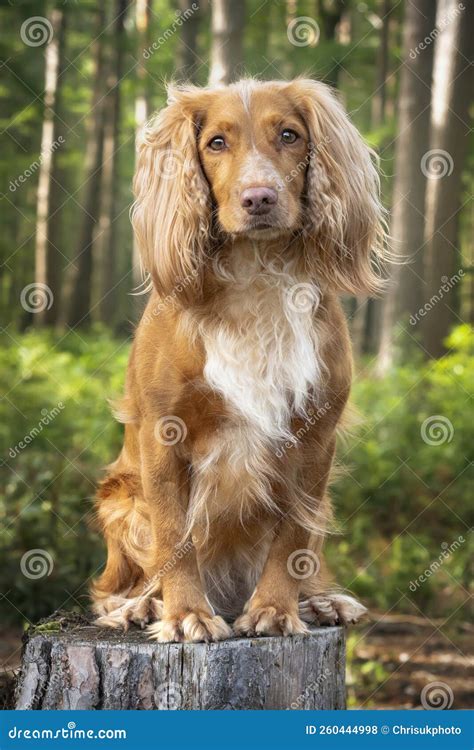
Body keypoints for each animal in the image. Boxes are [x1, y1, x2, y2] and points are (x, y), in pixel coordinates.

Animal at [91, 81, 386, 648]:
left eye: (289, 135)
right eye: (216, 143)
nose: (259, 198)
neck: (255, 274)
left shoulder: (316, 439)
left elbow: (291, 539)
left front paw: (276, 609)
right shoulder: (163, 434)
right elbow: (173, 536)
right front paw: (185, 614)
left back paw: (322, 601)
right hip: (120, 499)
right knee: (123, 582)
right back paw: (138, 607)